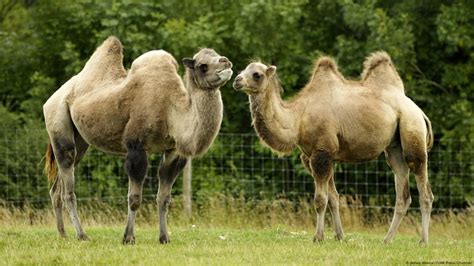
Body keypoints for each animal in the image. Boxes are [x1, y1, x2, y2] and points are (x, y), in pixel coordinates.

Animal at [43, 36, 232, 244]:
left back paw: (62, 234)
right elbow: (134, 198)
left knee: (56, 188)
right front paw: (128, 238)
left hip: (81, 142)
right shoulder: (136, 147)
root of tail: (51, 98)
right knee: (68, 189)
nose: (226, 62)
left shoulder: (173, 152)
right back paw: (81, 235)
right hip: (58, 123)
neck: (171, 110)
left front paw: (164, 238)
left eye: (217, 54)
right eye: (202, 66)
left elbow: (164, 198)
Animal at [232, 51, 434, 244]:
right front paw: (339, 236)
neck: (298, 118)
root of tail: (419, 111)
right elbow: (334, 198)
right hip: (394, 147)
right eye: (242, 69)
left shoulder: (322, 152)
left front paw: (318, 237)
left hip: (412, 128)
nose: (237, 80)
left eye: (257, 75)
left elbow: (320, 200)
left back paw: (423, 240)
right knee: (402, 189)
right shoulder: (313, 157)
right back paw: (387, 239)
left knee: (423, 185)